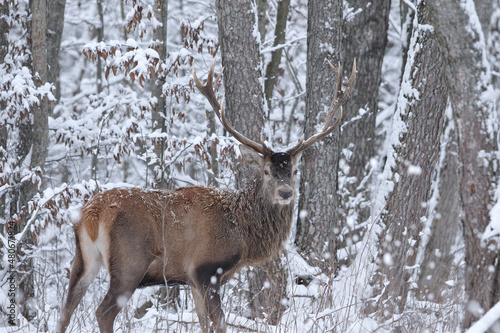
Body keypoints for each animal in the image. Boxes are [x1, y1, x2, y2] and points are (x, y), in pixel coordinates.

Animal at [58, 58, 356, 330]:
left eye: (294, 170)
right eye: (266, 171)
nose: (285, 192)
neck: (242, 233)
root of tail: (92, 213)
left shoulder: (190, 280)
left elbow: (203, 323)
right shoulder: (206, 270)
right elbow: (219, 324)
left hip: (83, 259)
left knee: (66, 309)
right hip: (129, 263)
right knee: (103, 311)